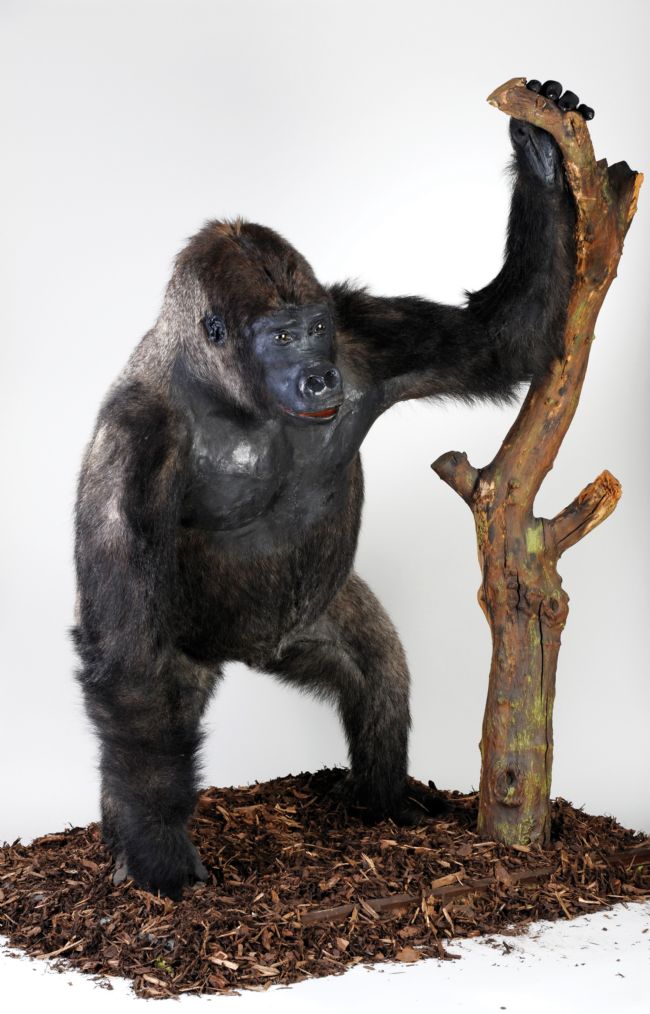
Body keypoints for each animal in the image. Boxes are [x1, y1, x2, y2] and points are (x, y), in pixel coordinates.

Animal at [73, 80, 590, 899]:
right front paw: (157, 855)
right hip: (190, 654)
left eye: (312, 328)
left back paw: (382, 801)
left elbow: (499, 339)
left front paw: (539, 152)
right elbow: (126, 660)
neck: (227, 391)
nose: (318, 376)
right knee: (149, 708)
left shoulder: (359, 329)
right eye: (279, 338)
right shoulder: (132, 440)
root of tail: (247, 654)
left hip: (310, 624)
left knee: (376, 672)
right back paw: (126, 845)